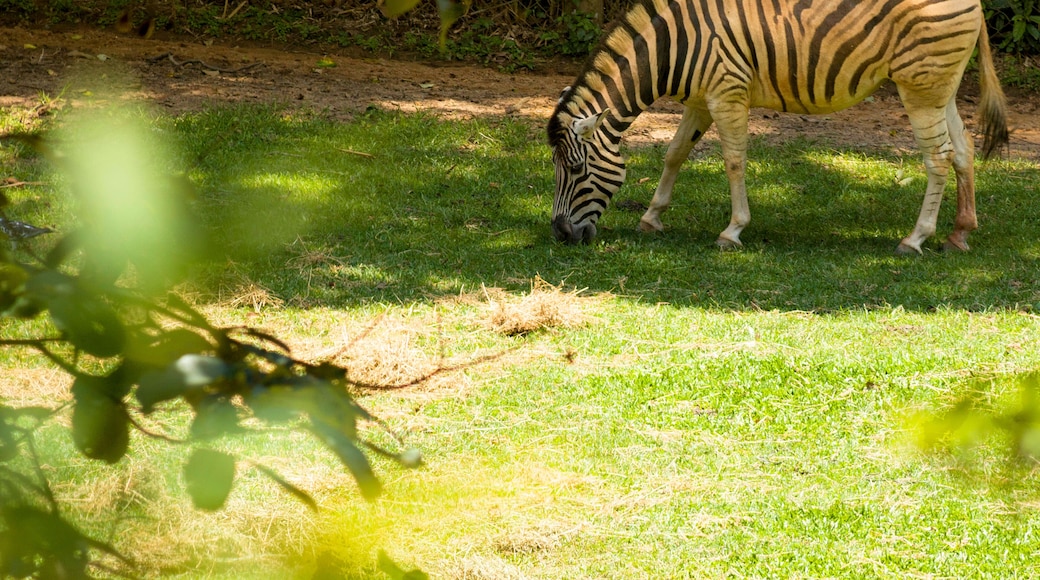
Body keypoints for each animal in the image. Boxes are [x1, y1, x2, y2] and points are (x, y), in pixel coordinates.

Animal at [548, 0, 1009, 254]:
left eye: (575, 169)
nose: (560, 234)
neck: (673, 48)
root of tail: (975, 3)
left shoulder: (727, 92)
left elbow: (734, 162)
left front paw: (732, 231)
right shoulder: (701, 100)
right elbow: (674, 155)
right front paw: (652, 216)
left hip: (919, 89)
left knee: (939, 158)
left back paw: (915, 239)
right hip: (941, 88)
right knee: (963, 148)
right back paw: (959, 233)